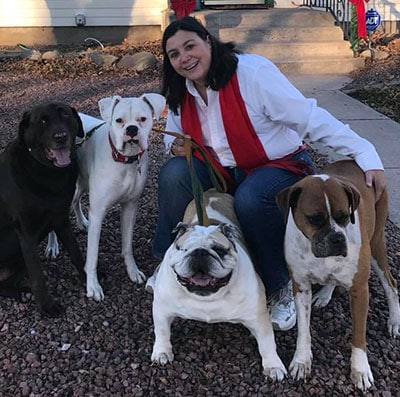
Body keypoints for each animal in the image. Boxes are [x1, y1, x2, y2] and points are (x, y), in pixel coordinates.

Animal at [0, 101, 86, 316]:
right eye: (43, 121)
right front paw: (47, 306)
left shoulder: (61, 219)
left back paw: (22, 293)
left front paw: (87, 275)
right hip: (16, 242)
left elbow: (75, 250)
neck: (48, 173)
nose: (61, 136)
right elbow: (37, 275)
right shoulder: (26, 234)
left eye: (65, 115)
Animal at [48, 93, 166, 300]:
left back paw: (82, 222)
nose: (132, 129)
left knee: (76, 201)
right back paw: (53, 244)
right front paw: (93, 286)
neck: (124, 161)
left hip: (82, 183)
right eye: (119, 120)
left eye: (143, 119)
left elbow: (127, 246)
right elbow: (92, 256)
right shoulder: (98, 213)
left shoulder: (130, 207)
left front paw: (132, 271)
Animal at [149, 189, 288, 380]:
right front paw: (162, 352)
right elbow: (162, 331)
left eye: (219, 250)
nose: (200, 252)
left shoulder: (259, 317)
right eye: (184, 250)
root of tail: (211, 191)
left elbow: (267, 342)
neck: (208, 297)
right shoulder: (162, 309)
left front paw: (273, 366)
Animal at [276, 159, 400, 392]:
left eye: (344, 216)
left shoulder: (360, 291)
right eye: (314, 218)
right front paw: (301, 360)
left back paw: (395, 320)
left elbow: (359, 335)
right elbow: (303, 330)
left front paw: (360, 369)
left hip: (377, 243)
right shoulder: (301, 286)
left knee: (391, 283)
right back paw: (325, 294)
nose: (337, 238)